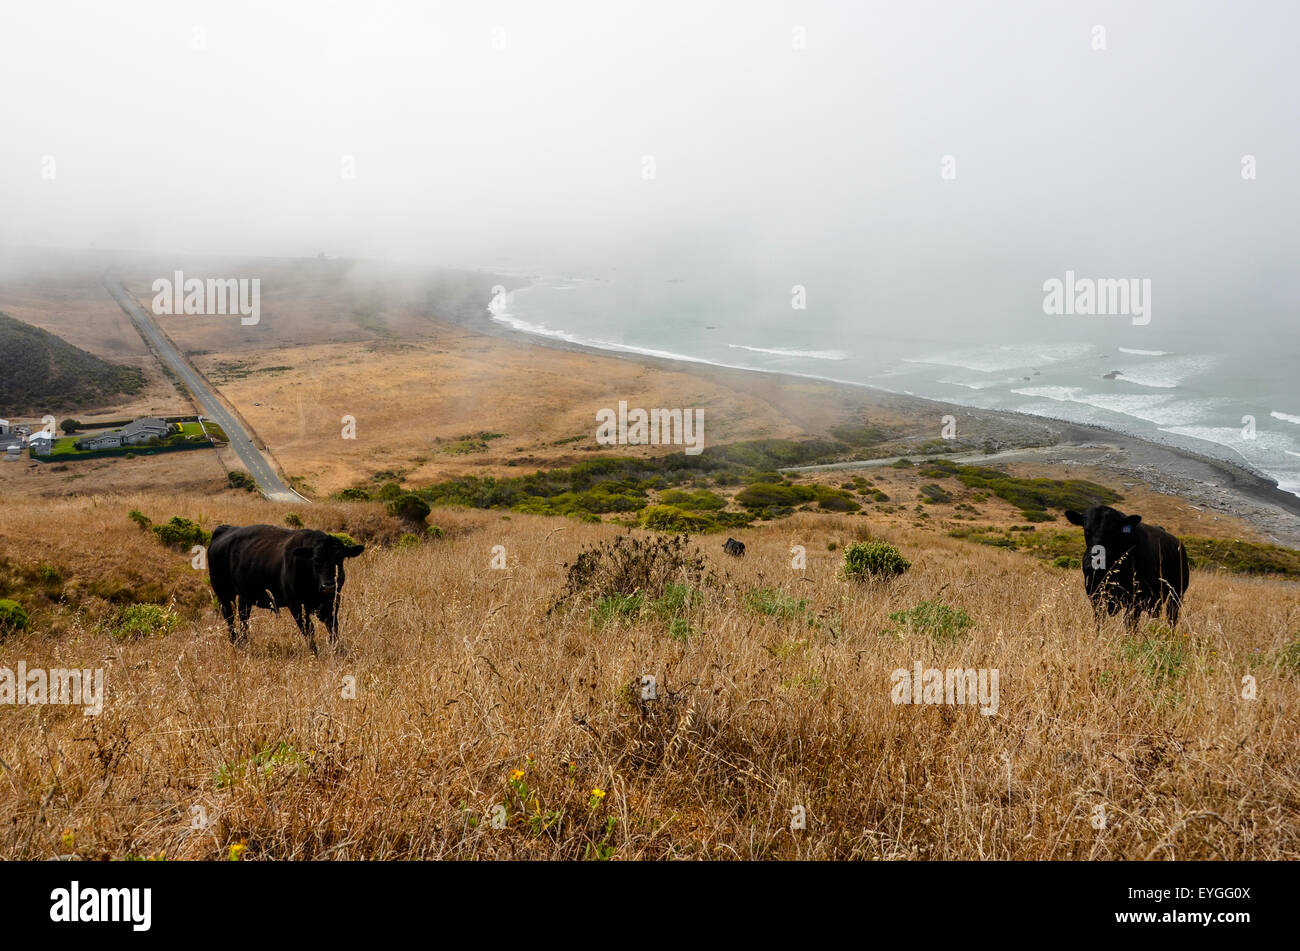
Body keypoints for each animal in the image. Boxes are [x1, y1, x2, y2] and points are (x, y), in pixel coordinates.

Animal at [208, 524, 364, 654]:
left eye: (340, 560)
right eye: (315, 561)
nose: (328, 586)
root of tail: (226, 529)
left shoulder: (332, 603)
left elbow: (333, 628)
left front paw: (339, 651)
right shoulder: (296, 605)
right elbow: (309, 630)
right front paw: (315, 653)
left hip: (244, 596)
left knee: (243, 618)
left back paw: (244, 643)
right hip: (223, 594)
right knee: (230, 618)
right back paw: (235, 644)